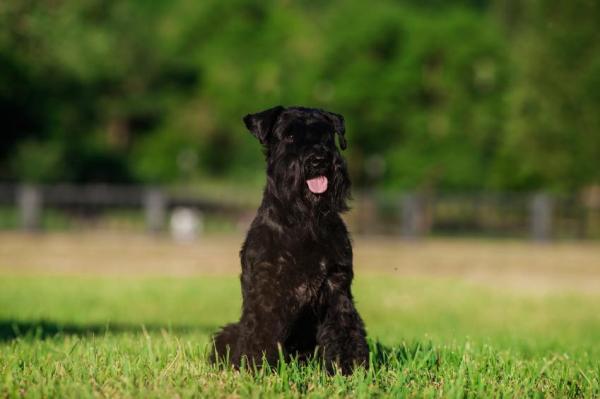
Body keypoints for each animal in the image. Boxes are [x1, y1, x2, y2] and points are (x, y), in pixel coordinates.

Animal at [211, 104, 370, 374]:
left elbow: (344, 326)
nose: (319, 159)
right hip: (228, 333)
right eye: (290, 135)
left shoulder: (337, 286)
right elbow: (262, 330)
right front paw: (257, 367)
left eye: (326, 135)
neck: (305, 219)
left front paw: (349, 367)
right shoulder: (268, 286)